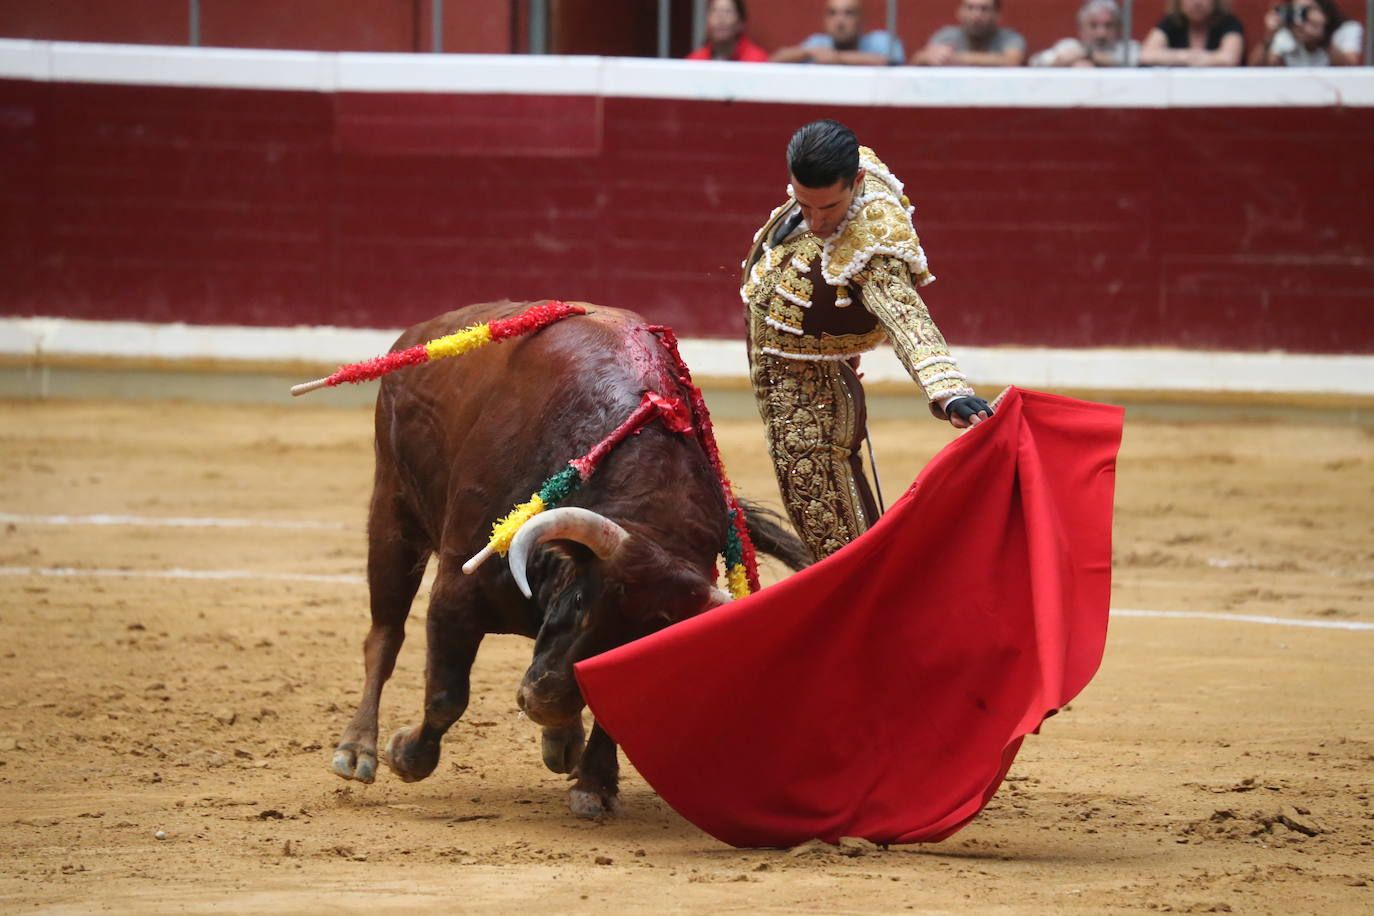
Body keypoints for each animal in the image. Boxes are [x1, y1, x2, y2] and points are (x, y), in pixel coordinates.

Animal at [328, 300, 807, 818]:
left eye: (642, 640)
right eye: (580, 601)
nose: (546, 704)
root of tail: (418, 333)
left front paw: (593, 784)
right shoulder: (456, 593)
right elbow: (446, 695)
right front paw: (407, 755)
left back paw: (562, 740)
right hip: (393, 509)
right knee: (385, 635)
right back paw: (357, 750)